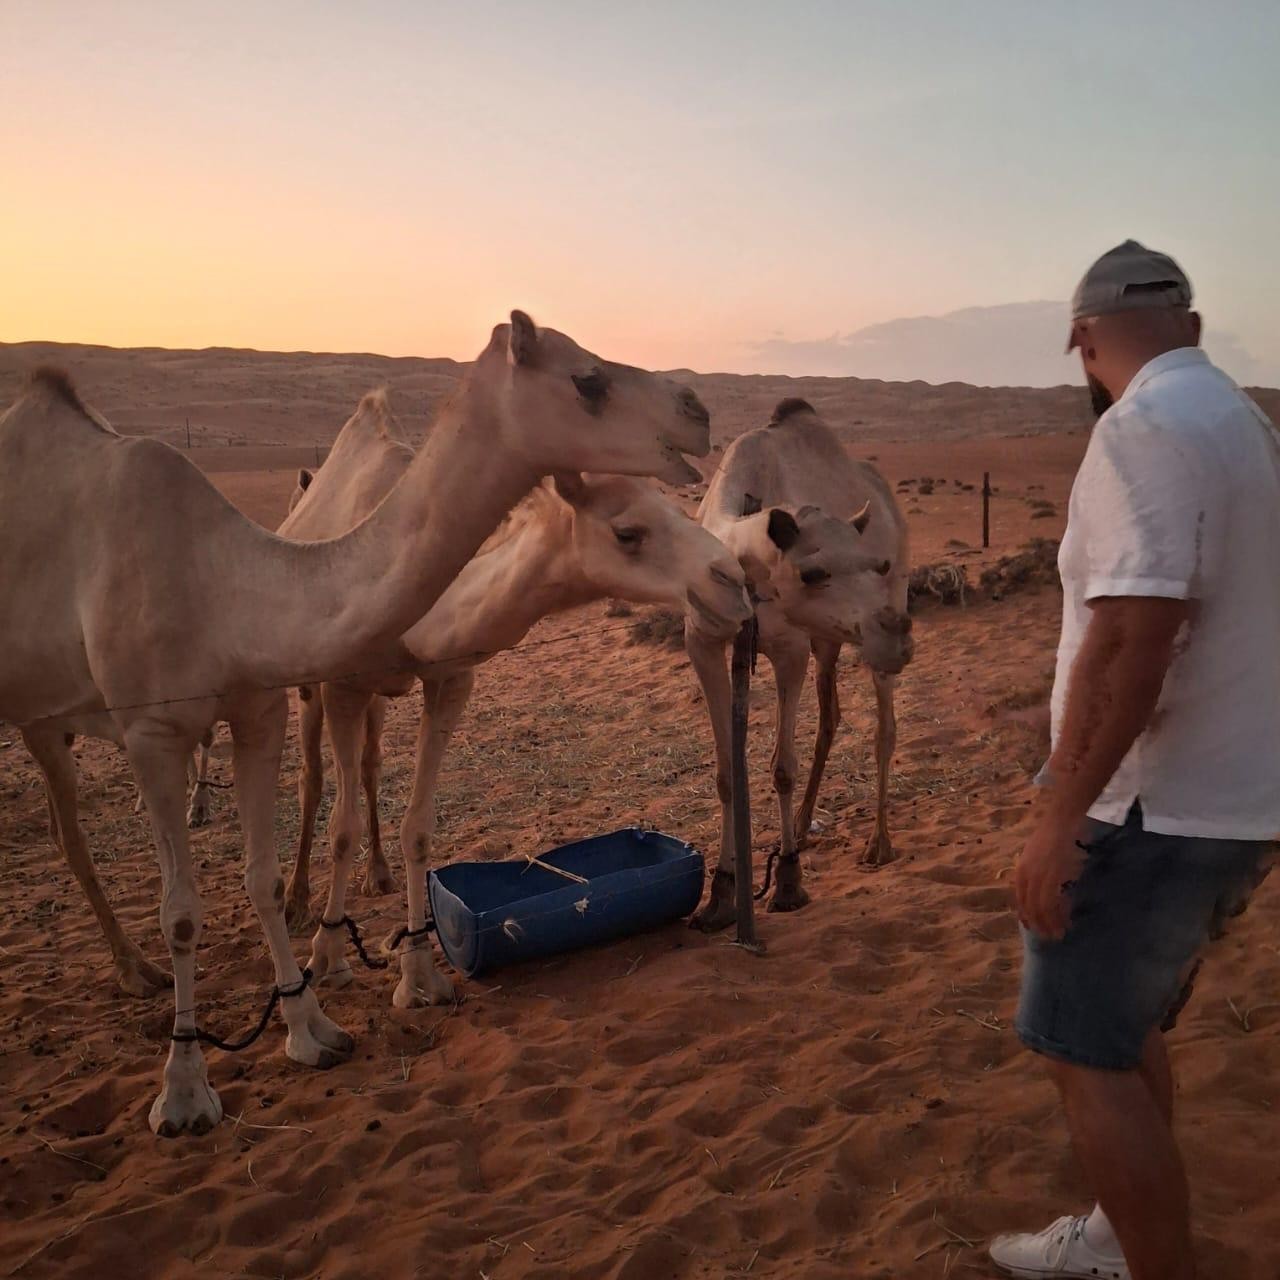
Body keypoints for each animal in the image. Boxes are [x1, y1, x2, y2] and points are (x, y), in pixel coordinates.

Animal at [270, 413, 749, 1006]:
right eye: (627, 533)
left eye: (679, 507)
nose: (732, 580)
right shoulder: (343, 687)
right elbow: (340, 829)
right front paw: (328, 957)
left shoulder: (450, 677)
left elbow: (419, 826)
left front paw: (418, 972)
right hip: (307, 684)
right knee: (312, 778)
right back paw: (297, 902)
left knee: (369, 764)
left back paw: (377, 876)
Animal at [684, 397, 913, 931]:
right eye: (811, 573)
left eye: (876, 565)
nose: (898, 636)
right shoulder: (703, 642)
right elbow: (726, 774)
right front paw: (721, 895)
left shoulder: (789, 648)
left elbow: (781, 767)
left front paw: (787, 882)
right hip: (827, 639)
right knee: (830, 716)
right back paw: (808, 825)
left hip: (876, 618)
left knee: (884, 727)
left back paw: (878, 843)